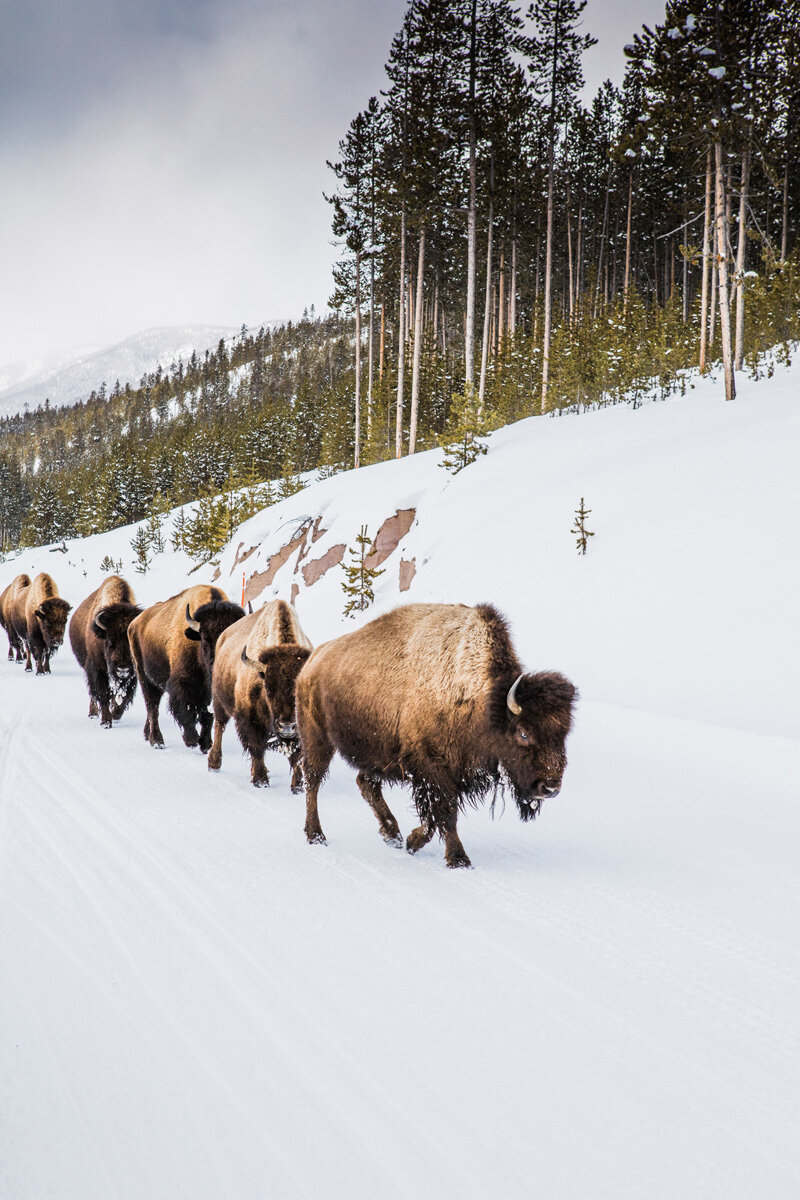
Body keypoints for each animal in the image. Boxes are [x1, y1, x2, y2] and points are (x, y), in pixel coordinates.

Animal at [68, 573, 142, 724]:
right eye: (109, 641)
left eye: (131, 642)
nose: (123, 669)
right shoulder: (97, 669)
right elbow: (103, 694)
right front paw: (106, 721)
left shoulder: (132, 674)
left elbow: (124, 697)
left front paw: (116, 715)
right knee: (93, 694)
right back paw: (93, 713)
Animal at [128, 583, 244, 744]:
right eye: (204, 637)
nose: (216, 665)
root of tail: (135, 623)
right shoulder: (182, 684)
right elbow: (187, 710)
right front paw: (192, 740)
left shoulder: (206, 692)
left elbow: (206, 715)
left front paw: (205, 743)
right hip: (144, 676)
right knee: (152, 706)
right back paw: (157, 740)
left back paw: (147, 735)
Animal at [209, 600, 311, 787]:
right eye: (268, 688)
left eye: (299, 690)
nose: (287, 726)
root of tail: (224, 635)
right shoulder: (249, 720)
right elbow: (256, 747)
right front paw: (261, 780)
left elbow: (297, 756)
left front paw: (297, 785)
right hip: (219, 699)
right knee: (219, 726)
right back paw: (214, 763)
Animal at [293, 604, 575, 868]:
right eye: (523, 732)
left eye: (564, 733)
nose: (550, 788)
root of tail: (312, 662)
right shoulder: (432, 767)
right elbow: (445, 812)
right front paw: (458, 859)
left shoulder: (447, 773)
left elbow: (433, 816)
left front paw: (411, 841)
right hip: (316, 736)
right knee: (313, 781)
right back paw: (316, 835)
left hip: (375, 752)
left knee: (366, 782)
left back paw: (392, 834)